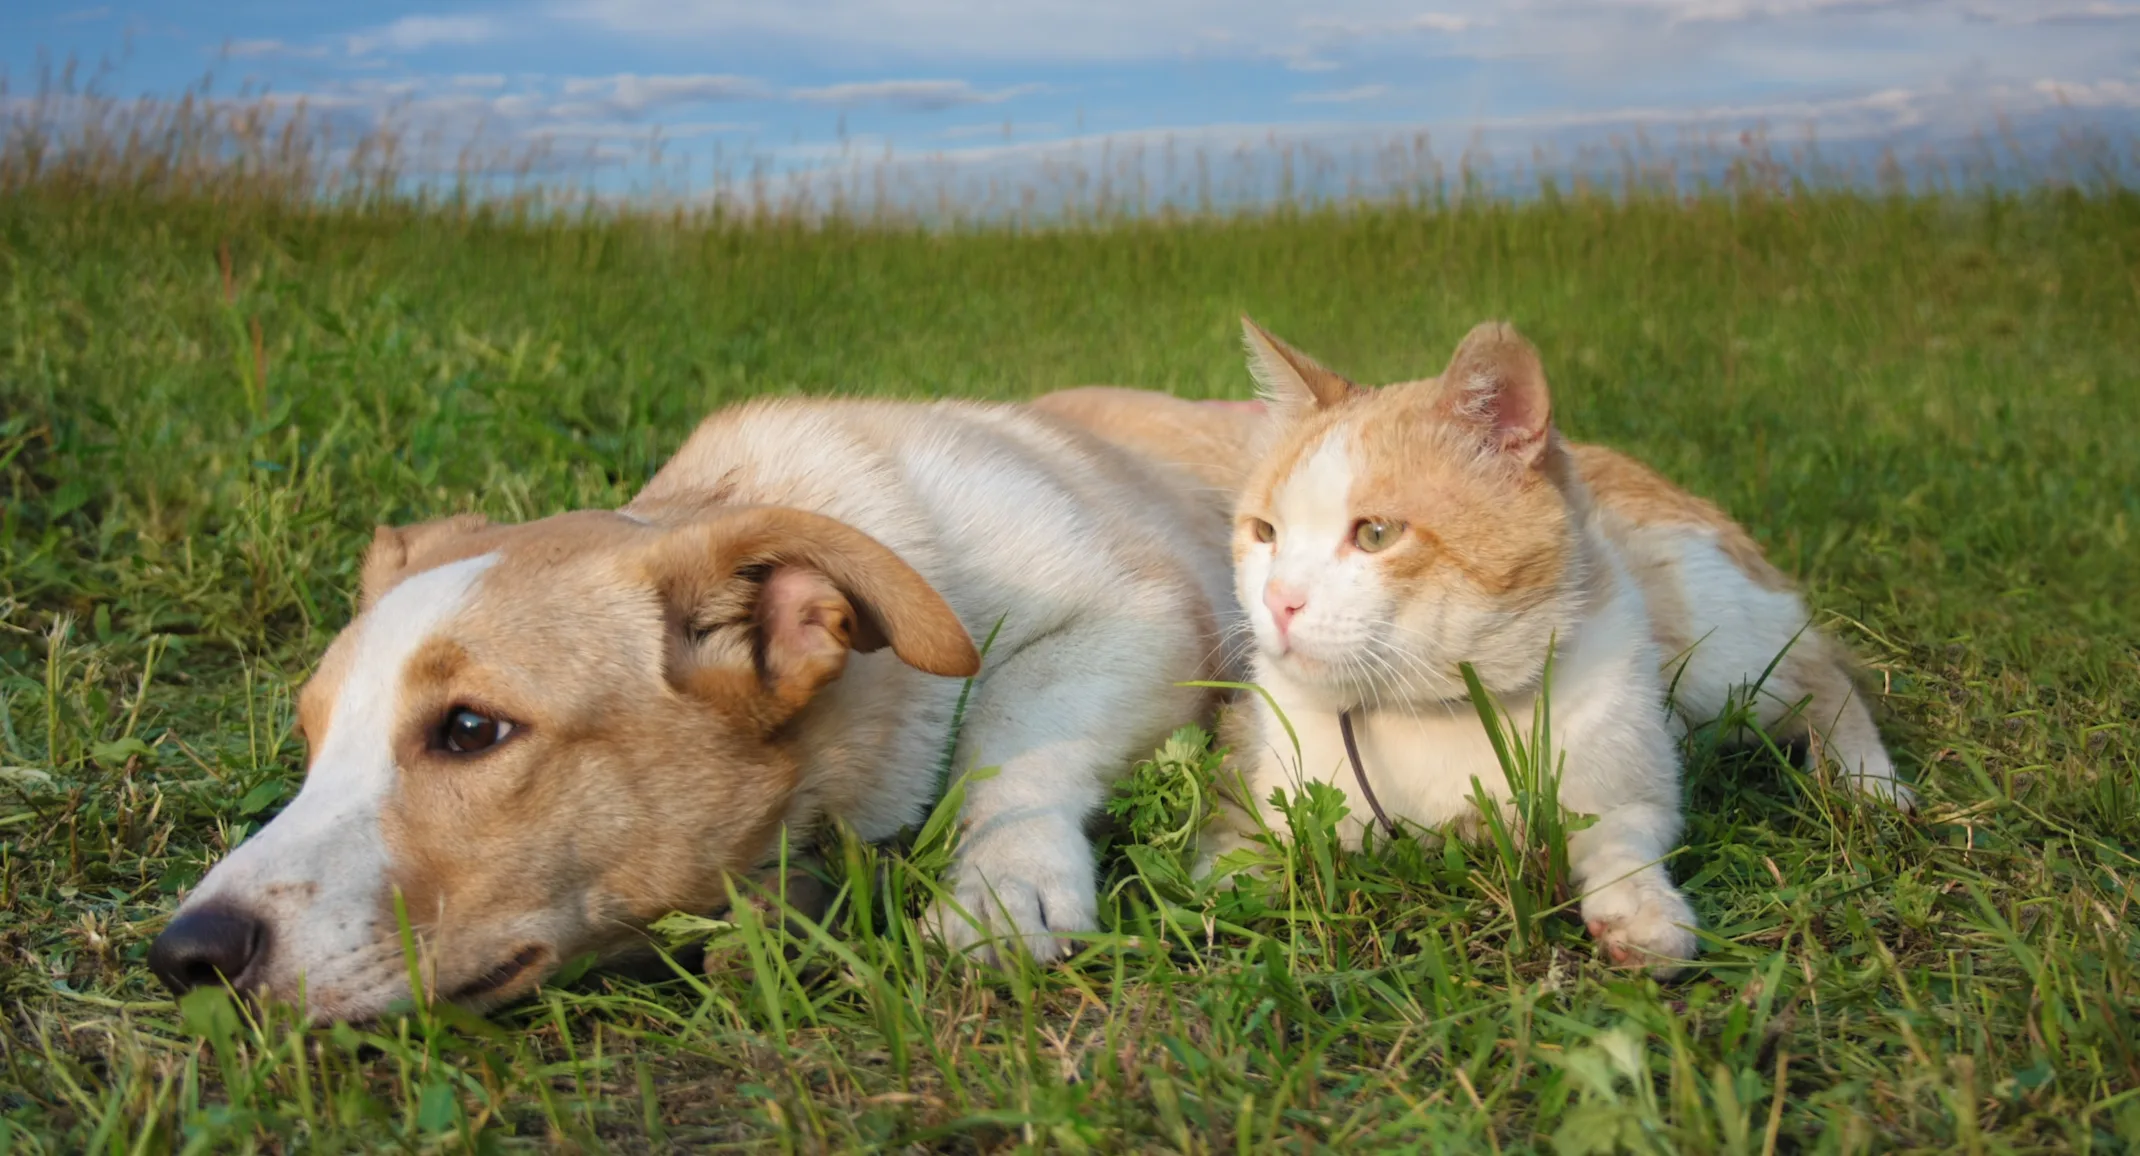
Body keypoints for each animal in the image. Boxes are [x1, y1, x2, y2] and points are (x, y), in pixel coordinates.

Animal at [150, 396, 1249, 1018]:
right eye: (310, 739)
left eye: (469, 730)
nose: (185, 956)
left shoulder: (1148, 612)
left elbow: (1010, 727)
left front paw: (999, 880)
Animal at [1198, 312, 1917, 971]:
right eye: (1265, 532)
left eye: (1376, 534)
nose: (1278, 599)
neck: (1429, 713)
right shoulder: (1259, 761)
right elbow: (1245, 844)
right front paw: (1231, 878)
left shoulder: (1632, 780)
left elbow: (1625, 838)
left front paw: (1639, 911)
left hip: (1724, 660)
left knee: (1825, 679)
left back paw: (1868, 782)